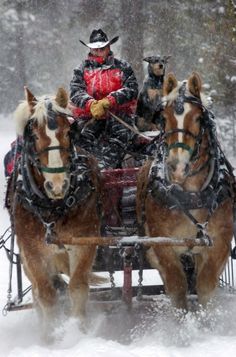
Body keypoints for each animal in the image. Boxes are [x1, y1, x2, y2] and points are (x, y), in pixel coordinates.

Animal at [6, 87, 102, 340]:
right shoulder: (32, 252)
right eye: (34, 135)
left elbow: (77, 287)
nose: (58, 185)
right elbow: (46, 294)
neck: (53, 209)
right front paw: (49, 338)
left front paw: (78, 332)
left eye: (68, 132)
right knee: (40, 293)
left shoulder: (84, 242)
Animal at [136, 71, 235, 308]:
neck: (191, 195)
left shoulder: (220, 242)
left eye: (199, 118)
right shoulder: (162, 244)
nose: (177, 166)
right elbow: (177, 287)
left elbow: (205, 285)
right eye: (163, 118)